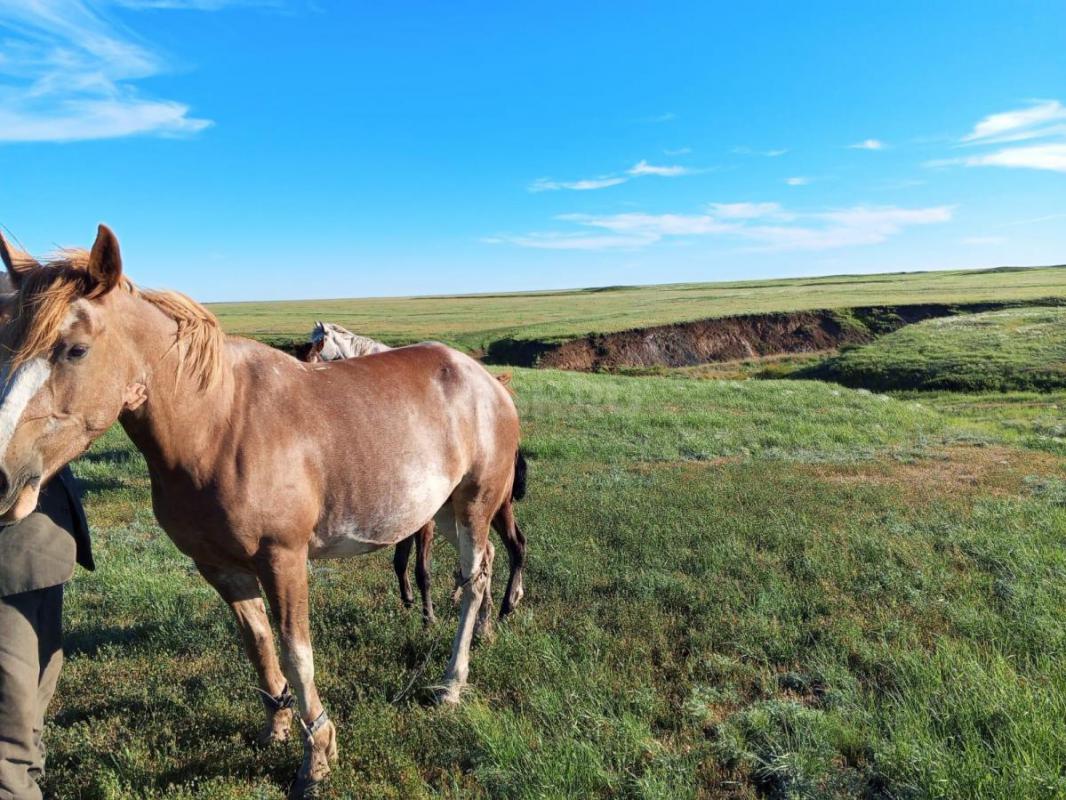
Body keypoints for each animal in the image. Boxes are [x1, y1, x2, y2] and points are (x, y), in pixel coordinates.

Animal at [0, 228, 524, 797]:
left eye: (75, 350)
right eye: (8, 343)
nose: (2, 478)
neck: (217, 425)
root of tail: (487, 380)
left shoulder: (283, 559)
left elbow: (296, 652)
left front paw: (318, 752)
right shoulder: (221, 567)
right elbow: (257, 643)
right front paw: (277, 723)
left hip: (474, 504)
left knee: (472, 580)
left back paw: (452, 682)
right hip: (445, 511)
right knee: (486, 565)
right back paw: (486, 631)